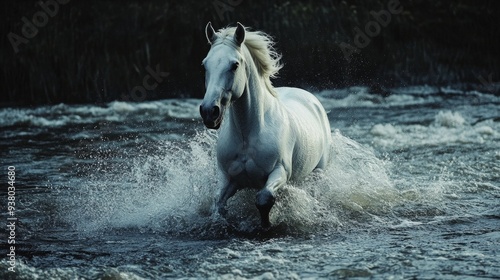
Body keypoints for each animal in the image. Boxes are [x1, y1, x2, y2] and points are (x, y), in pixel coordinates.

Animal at [199, 22, 332, 230]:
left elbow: (264, 199)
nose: (209, 112)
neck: (248, 134)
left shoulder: (280, 172)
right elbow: (218, 204)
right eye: (205, 64)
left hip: (318, 171)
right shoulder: (227, 177)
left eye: (235, 65)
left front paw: (266, 225)